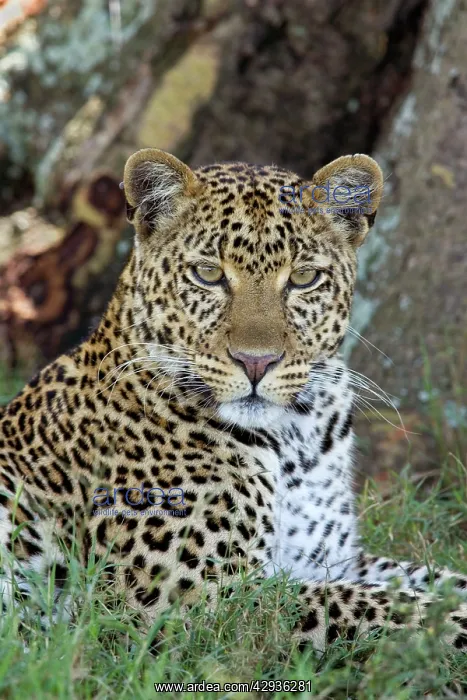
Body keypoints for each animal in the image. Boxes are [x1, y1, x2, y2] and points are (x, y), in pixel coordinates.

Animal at [1, 147, 467, 653]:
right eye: (207, 274)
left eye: (304, 278)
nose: (256, 362)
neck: (298, 436)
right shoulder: (200, 597)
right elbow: (382, 606)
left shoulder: (333, 559)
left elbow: (429, 580)